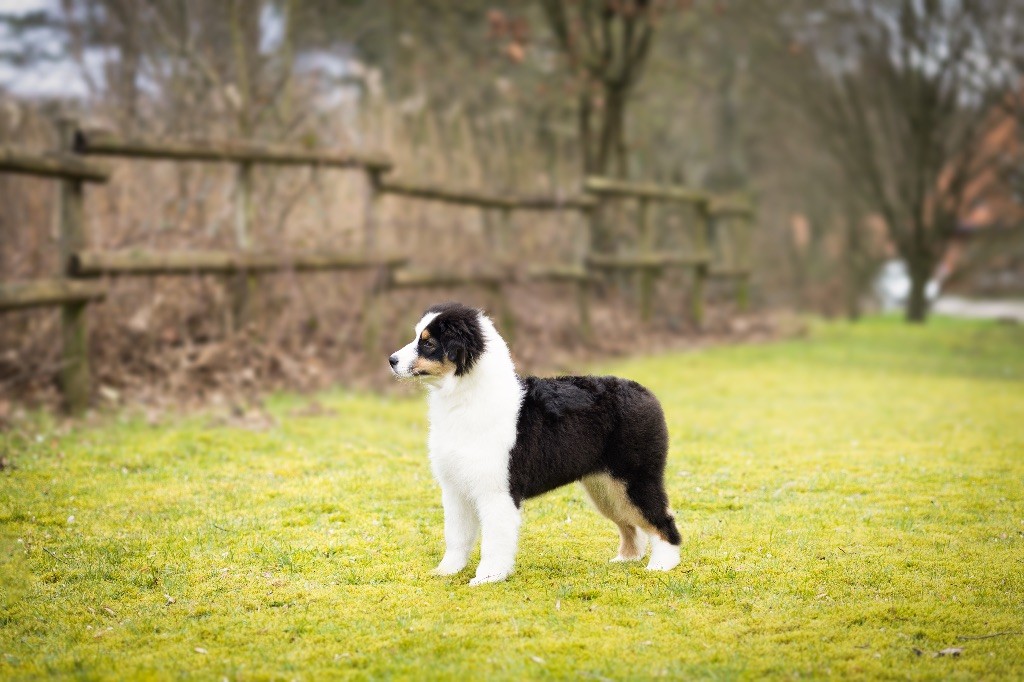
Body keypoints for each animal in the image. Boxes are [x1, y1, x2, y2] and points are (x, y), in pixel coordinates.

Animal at [389, 303, 679, 585]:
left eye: (428, 343)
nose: (391, 360)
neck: (466, 399)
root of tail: (647, 394)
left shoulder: (498, 489)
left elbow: (494, 540)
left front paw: (488, 577)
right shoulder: (455, 488)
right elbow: (456, 535)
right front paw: (447, 571)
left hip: (634, 477)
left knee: (662, 520)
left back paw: (662, 565)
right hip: (604, 486)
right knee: (630, 524)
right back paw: (626, 559)